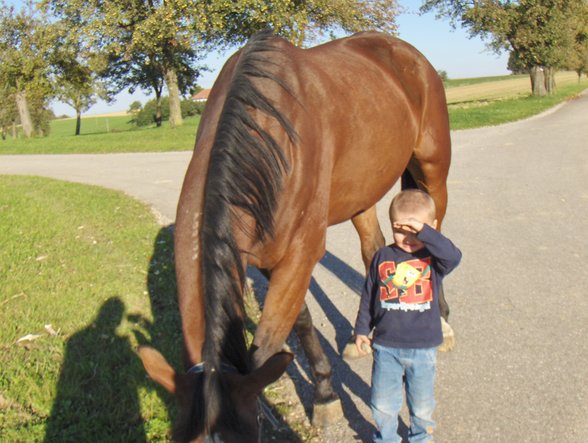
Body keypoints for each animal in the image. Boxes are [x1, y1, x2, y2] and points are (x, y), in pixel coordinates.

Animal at [138, 29, 450, 442]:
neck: (266, 136)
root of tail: (405, 52)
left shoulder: (301, 252)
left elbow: (267, 344)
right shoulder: (272, 259)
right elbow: (299, 321)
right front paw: (325, 393)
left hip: (433, 170)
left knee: (435, 238)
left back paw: (443, 322)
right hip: (362, 193)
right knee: (373, 250)